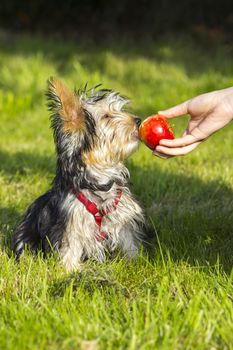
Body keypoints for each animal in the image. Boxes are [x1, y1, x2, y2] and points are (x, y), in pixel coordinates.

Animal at [12, 79, 146, 270]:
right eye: (106, 116)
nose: (138, 120)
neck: (100, 180)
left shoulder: (122, 215)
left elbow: (128, 241)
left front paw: (135, 262)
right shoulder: (70, 223)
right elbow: (70, 246)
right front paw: (70, 270)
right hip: (27, 236)